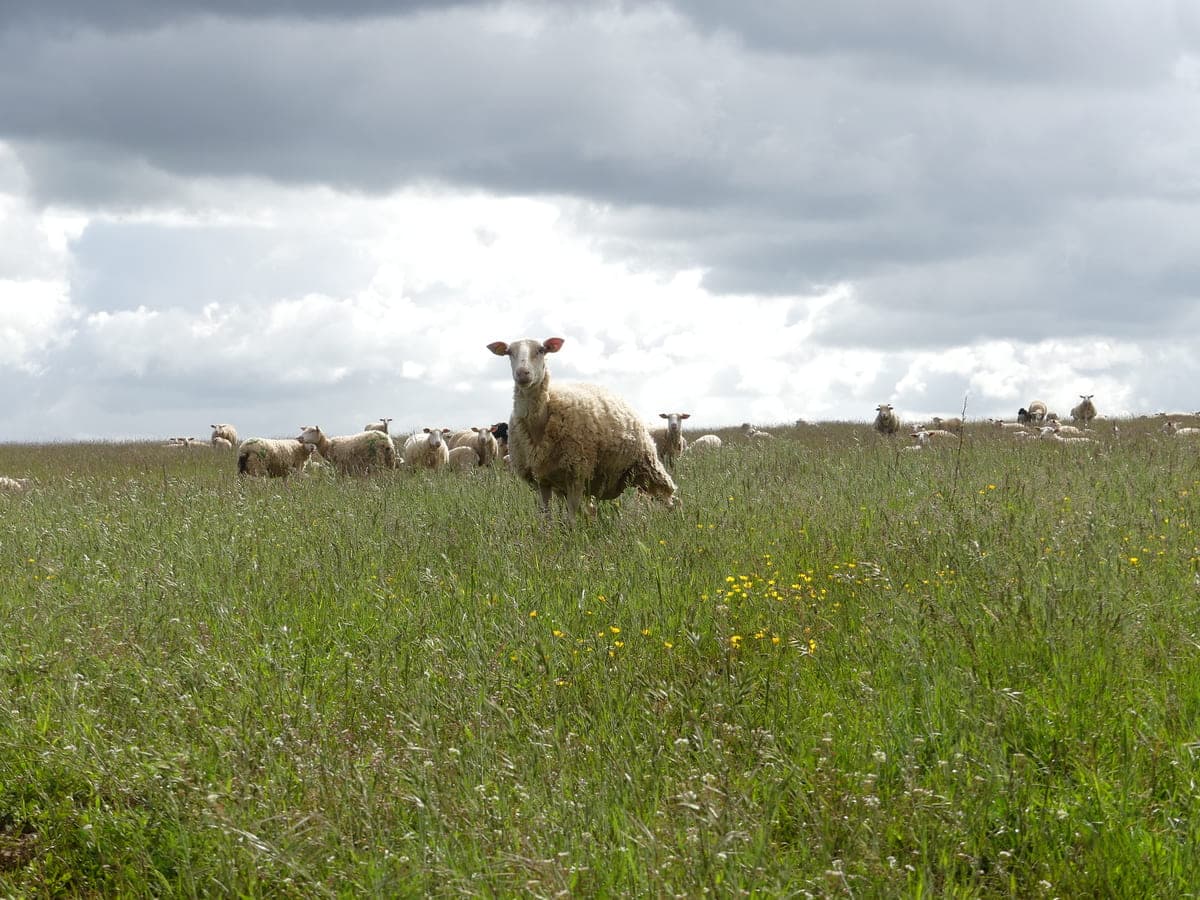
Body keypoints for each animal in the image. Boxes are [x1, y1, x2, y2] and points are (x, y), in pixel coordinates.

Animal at [488, 336, 676, 517]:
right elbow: (545, 517)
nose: (522, 373)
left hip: (647, 466)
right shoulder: (542, 479)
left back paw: (672, 518)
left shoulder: (576, 475)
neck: (539, 423)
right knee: (592, 510)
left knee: (669, 497)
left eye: (541, 350)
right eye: (509, 352)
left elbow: (571, 518)